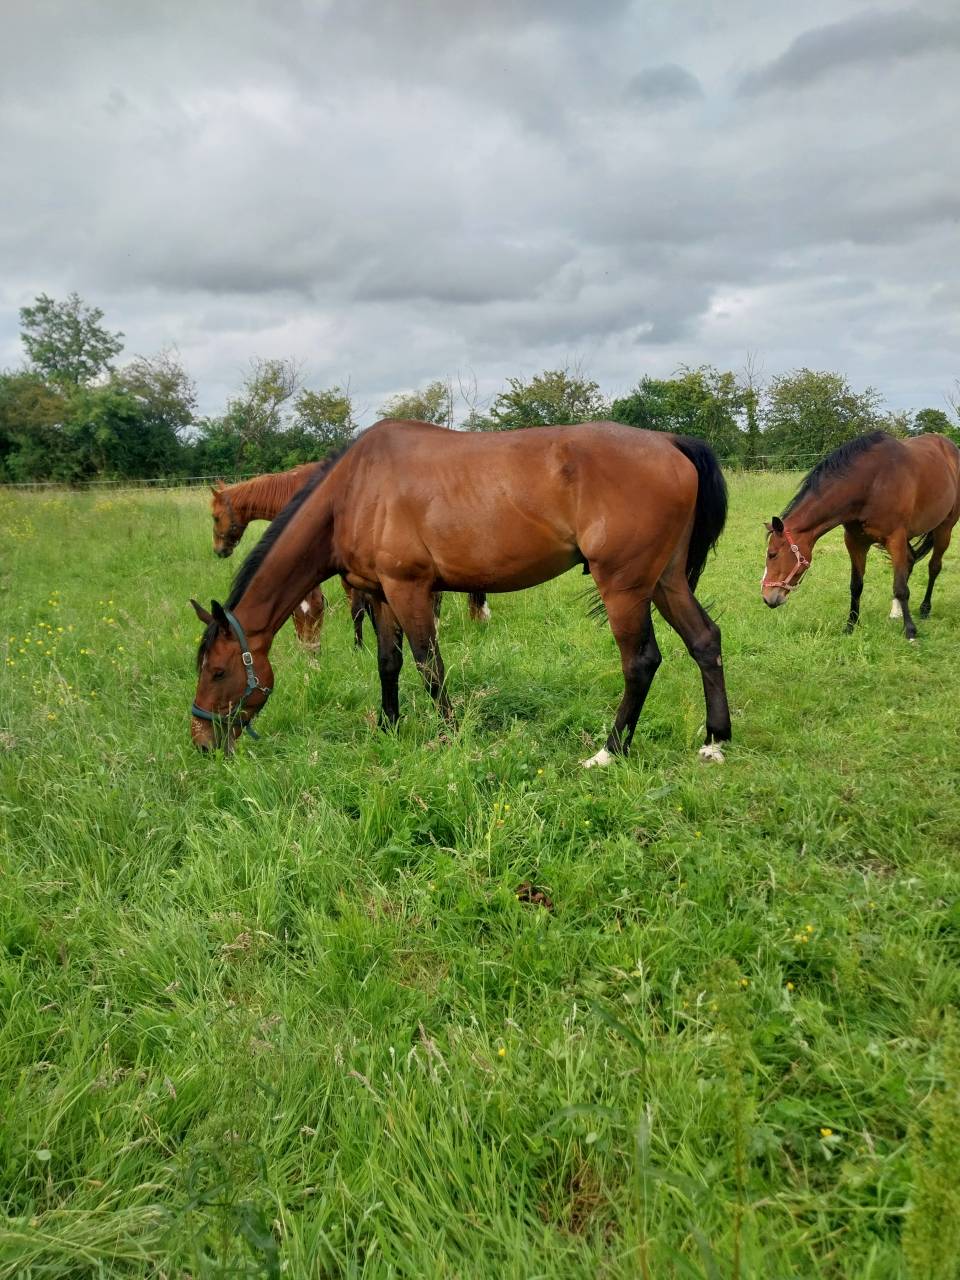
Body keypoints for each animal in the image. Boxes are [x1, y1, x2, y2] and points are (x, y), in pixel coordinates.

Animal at [761, 430, 960, 640]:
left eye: (772, 554)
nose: (767, 598)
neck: (871, 484)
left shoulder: (895, 538)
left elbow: (900, 587)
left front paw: (911, 631)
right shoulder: (855, 541)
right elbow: (856, 585)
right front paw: (850, 625)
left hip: (944, 528)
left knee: (934, 567)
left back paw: (925, 608)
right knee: (910, 561)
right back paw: (896, 611)